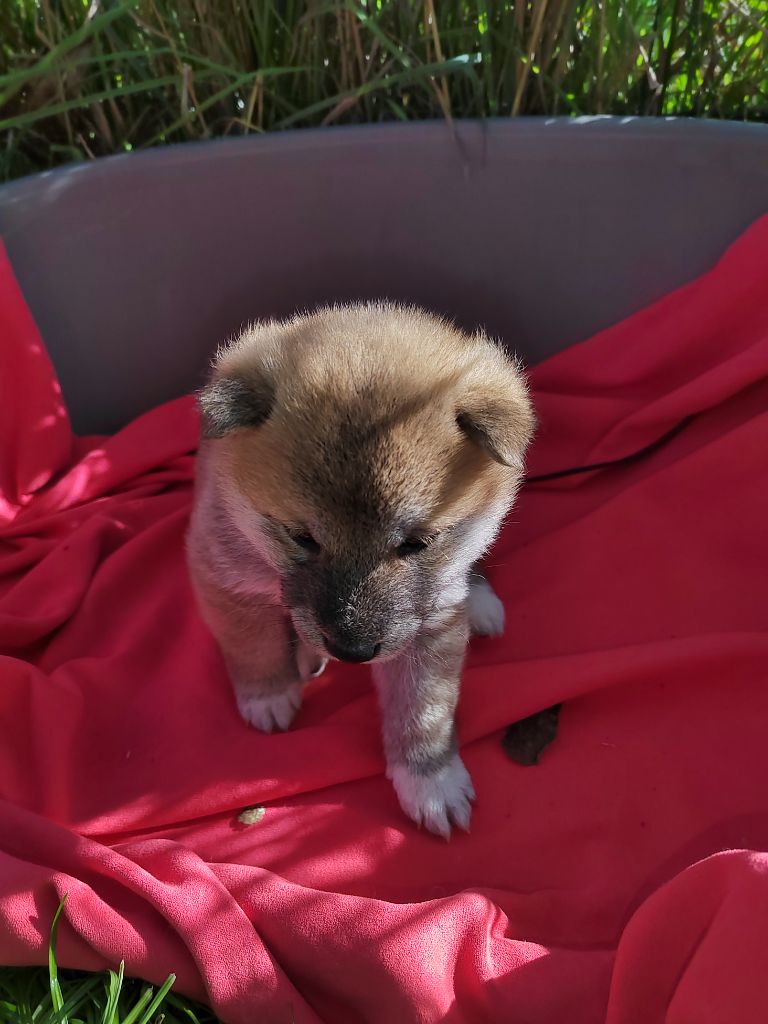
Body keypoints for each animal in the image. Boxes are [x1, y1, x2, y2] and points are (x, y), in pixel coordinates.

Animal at [187, 303, 534, 837]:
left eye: (416, 544)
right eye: (303, 538)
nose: (350, 651)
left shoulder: (428, 624)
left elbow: (424, 710)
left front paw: (430, 781)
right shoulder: (225, 573)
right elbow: (253, 645)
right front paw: (268, 694)